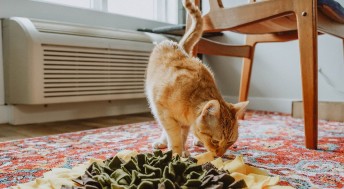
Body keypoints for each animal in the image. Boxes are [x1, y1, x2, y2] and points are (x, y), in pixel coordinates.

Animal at [144, 0, 247, 157]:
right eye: (215, 141)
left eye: (230, 142)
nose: (219, 155)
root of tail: (179, 46)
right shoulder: (165, 114)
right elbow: (173, 135)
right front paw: (176, 152)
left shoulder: (185, 123)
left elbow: (183, 135)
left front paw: (182, 150)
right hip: (156, 108)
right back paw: (163, 142)